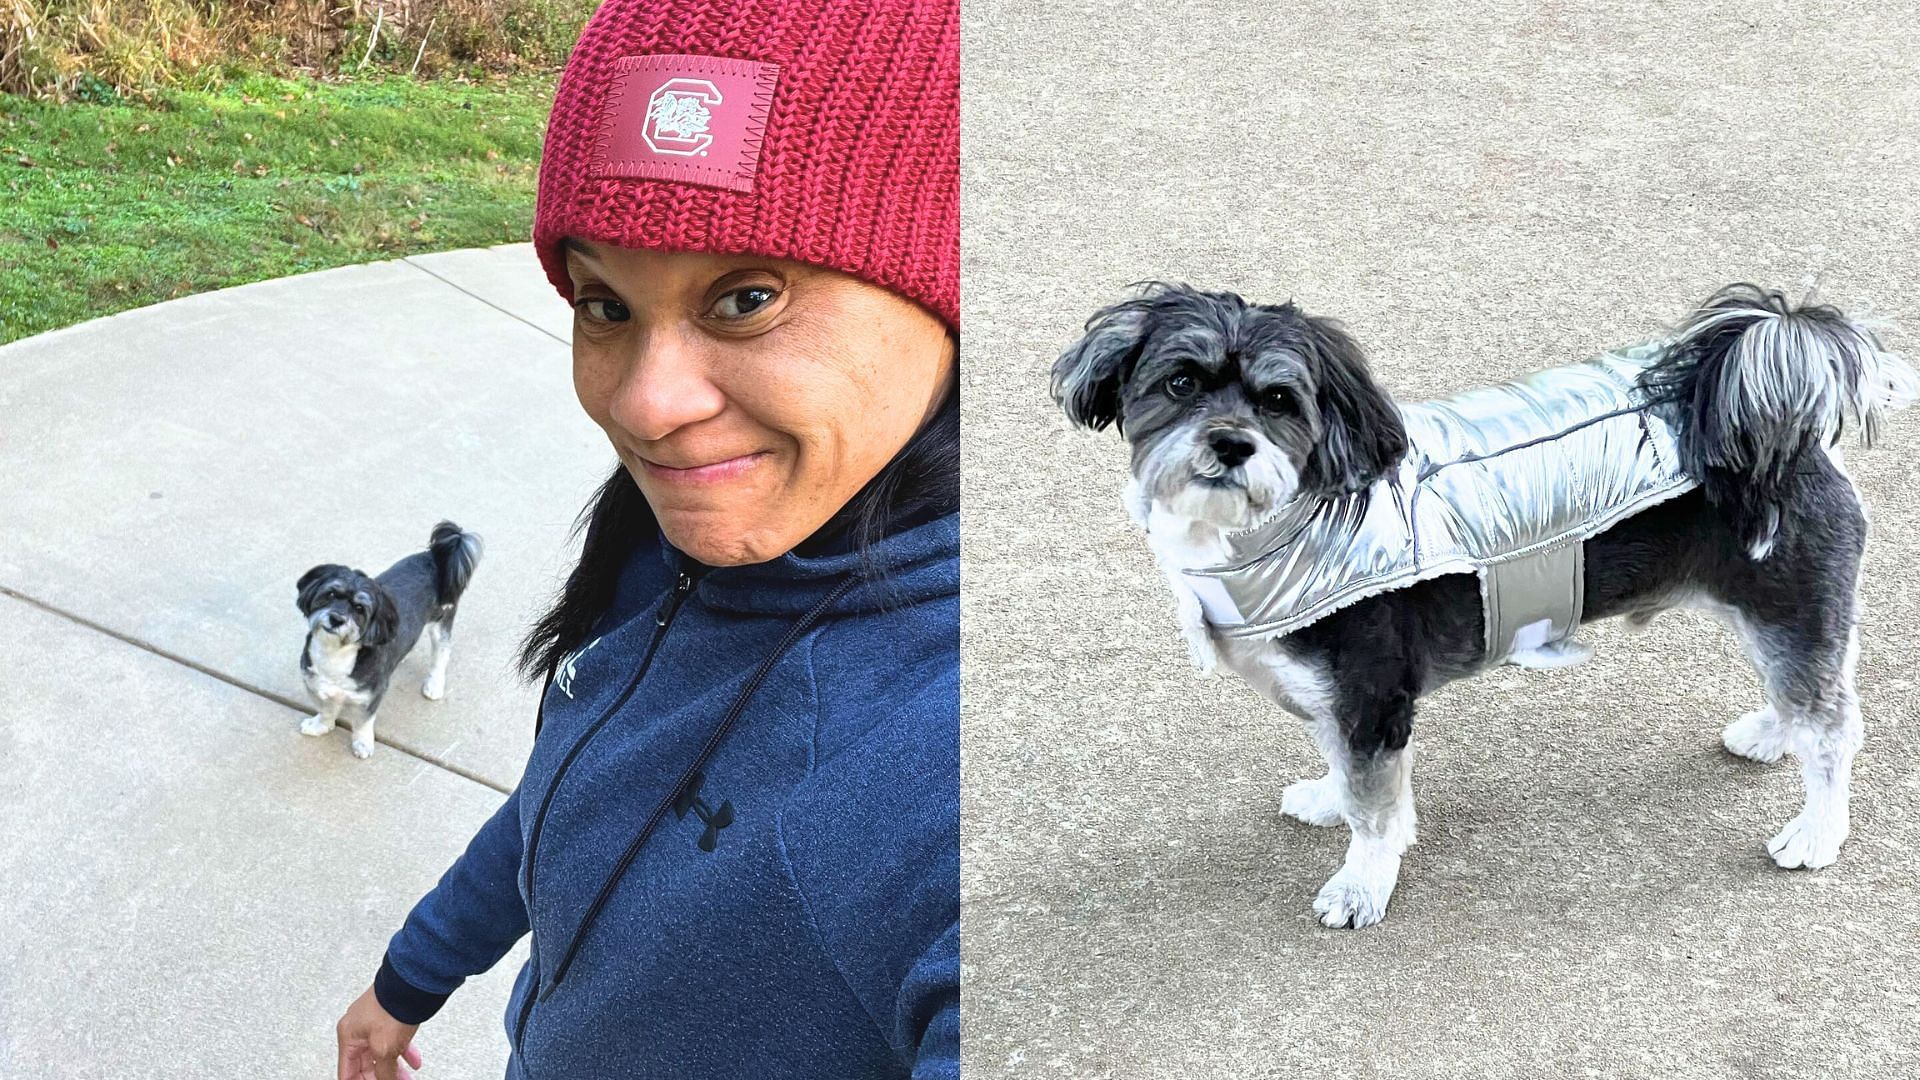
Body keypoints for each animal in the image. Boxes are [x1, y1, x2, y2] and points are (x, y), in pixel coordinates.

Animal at [299, 522, 483, 757]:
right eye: (330, 594)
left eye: (359, 608)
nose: (336, 618)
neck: (335, 656)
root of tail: (433, 556)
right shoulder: (315, 686)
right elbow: (325, 711)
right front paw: (320, 726)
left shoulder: (371, 697)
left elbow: (362, 722)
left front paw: (363, 743)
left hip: (442, 620)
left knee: (441, 653)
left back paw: (434, 684)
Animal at [1059, 284, 1912, 926]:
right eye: (1180, 382)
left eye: (1279, 401)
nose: (1231, 444)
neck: (1291, 521)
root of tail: (1773, 418)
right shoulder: (1343, 705)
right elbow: (1347, 772)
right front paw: (1330, 801)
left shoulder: (1371, 697)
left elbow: (1374, 806)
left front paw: (1361, 885)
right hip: (1785, 612)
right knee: (1809, 698)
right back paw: (1770, 734)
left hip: (1788, 607)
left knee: (1831, 728)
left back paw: (1816, 831)